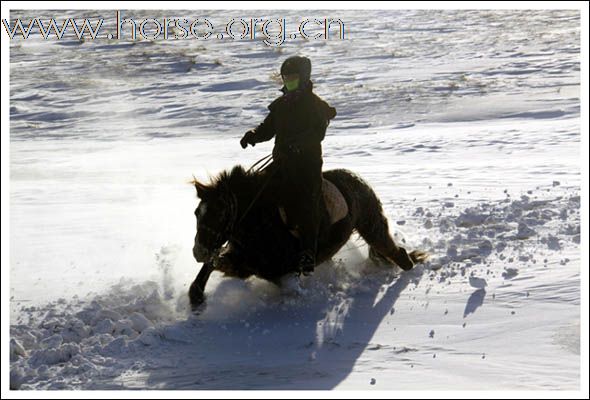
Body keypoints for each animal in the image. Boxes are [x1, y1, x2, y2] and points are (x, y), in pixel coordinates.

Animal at [192, 164, 428, 308]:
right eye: (197, 213)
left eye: (219, 213)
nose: (197, 252)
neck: (260, 219)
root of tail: (357, 178)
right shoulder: (245, 264)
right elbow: (213, 263)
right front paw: (196, 298)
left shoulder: (279, 271)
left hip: (372, 225)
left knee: (397, 253)